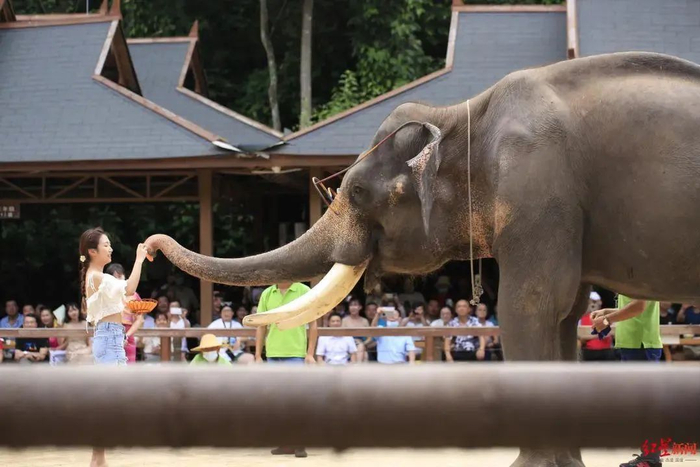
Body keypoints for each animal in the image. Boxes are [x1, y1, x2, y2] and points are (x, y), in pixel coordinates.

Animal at [145, 51, 700, 466]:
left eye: (358, 191)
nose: (149, 247)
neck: (465, 114)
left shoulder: (539, 191)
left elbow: (529, 307)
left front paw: (532, 465)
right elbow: (564, 316)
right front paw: (564, 464)